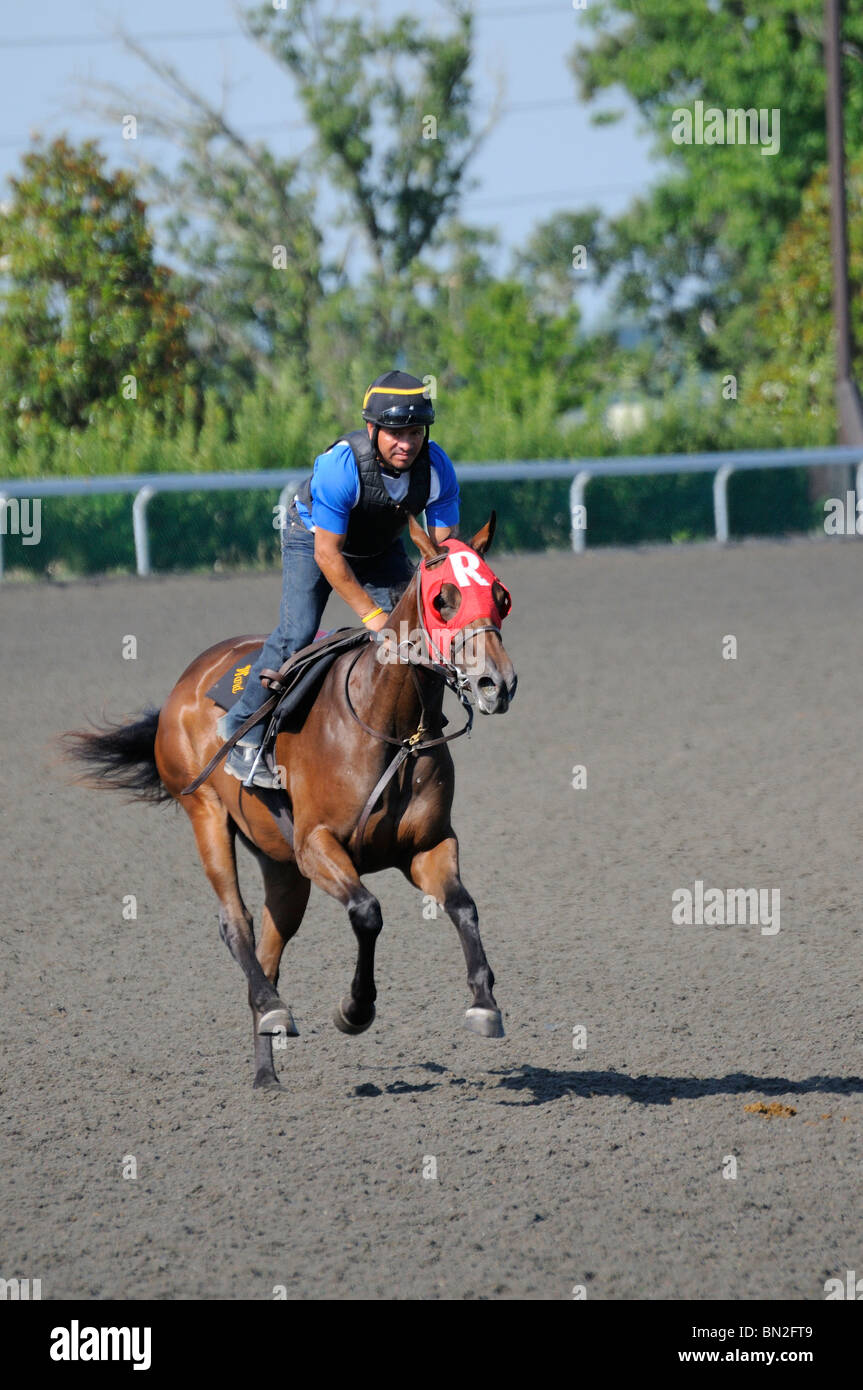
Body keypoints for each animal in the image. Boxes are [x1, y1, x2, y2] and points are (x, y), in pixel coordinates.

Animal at [65, 512, 517, 1089]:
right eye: (445, 599)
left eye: (501, 596)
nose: (497, 683)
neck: (393, 727)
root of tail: (186, 681)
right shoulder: (316, 845)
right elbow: (368, 912)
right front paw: (354, 1009)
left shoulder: (428, 845)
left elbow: (463, 905)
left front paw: (484, 1003)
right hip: (208, 814)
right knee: (235, 924)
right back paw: (274, 1009)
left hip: (281, 868)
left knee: (269, 946)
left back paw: (266, 1069)